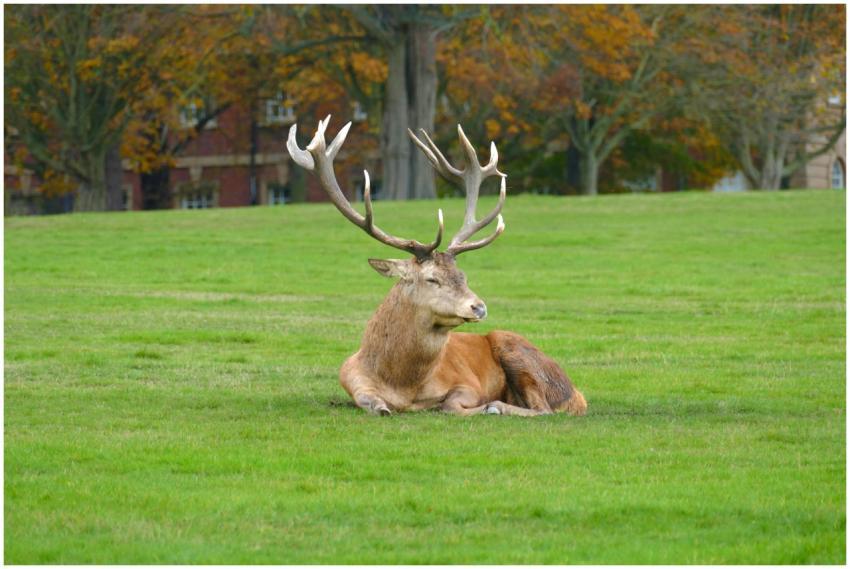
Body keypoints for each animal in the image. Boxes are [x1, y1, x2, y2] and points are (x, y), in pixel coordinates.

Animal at [286, 116, 587, 417]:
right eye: (432, 279)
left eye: (463, 276)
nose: (479, 307)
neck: (401, 384)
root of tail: (578, 394)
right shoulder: (352, 381)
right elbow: (376, 405)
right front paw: (384, 407)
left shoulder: (467, 383)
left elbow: (451, 405)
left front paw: (485, 406)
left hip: (517, 351)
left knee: (544, 408)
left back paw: (498, 406)